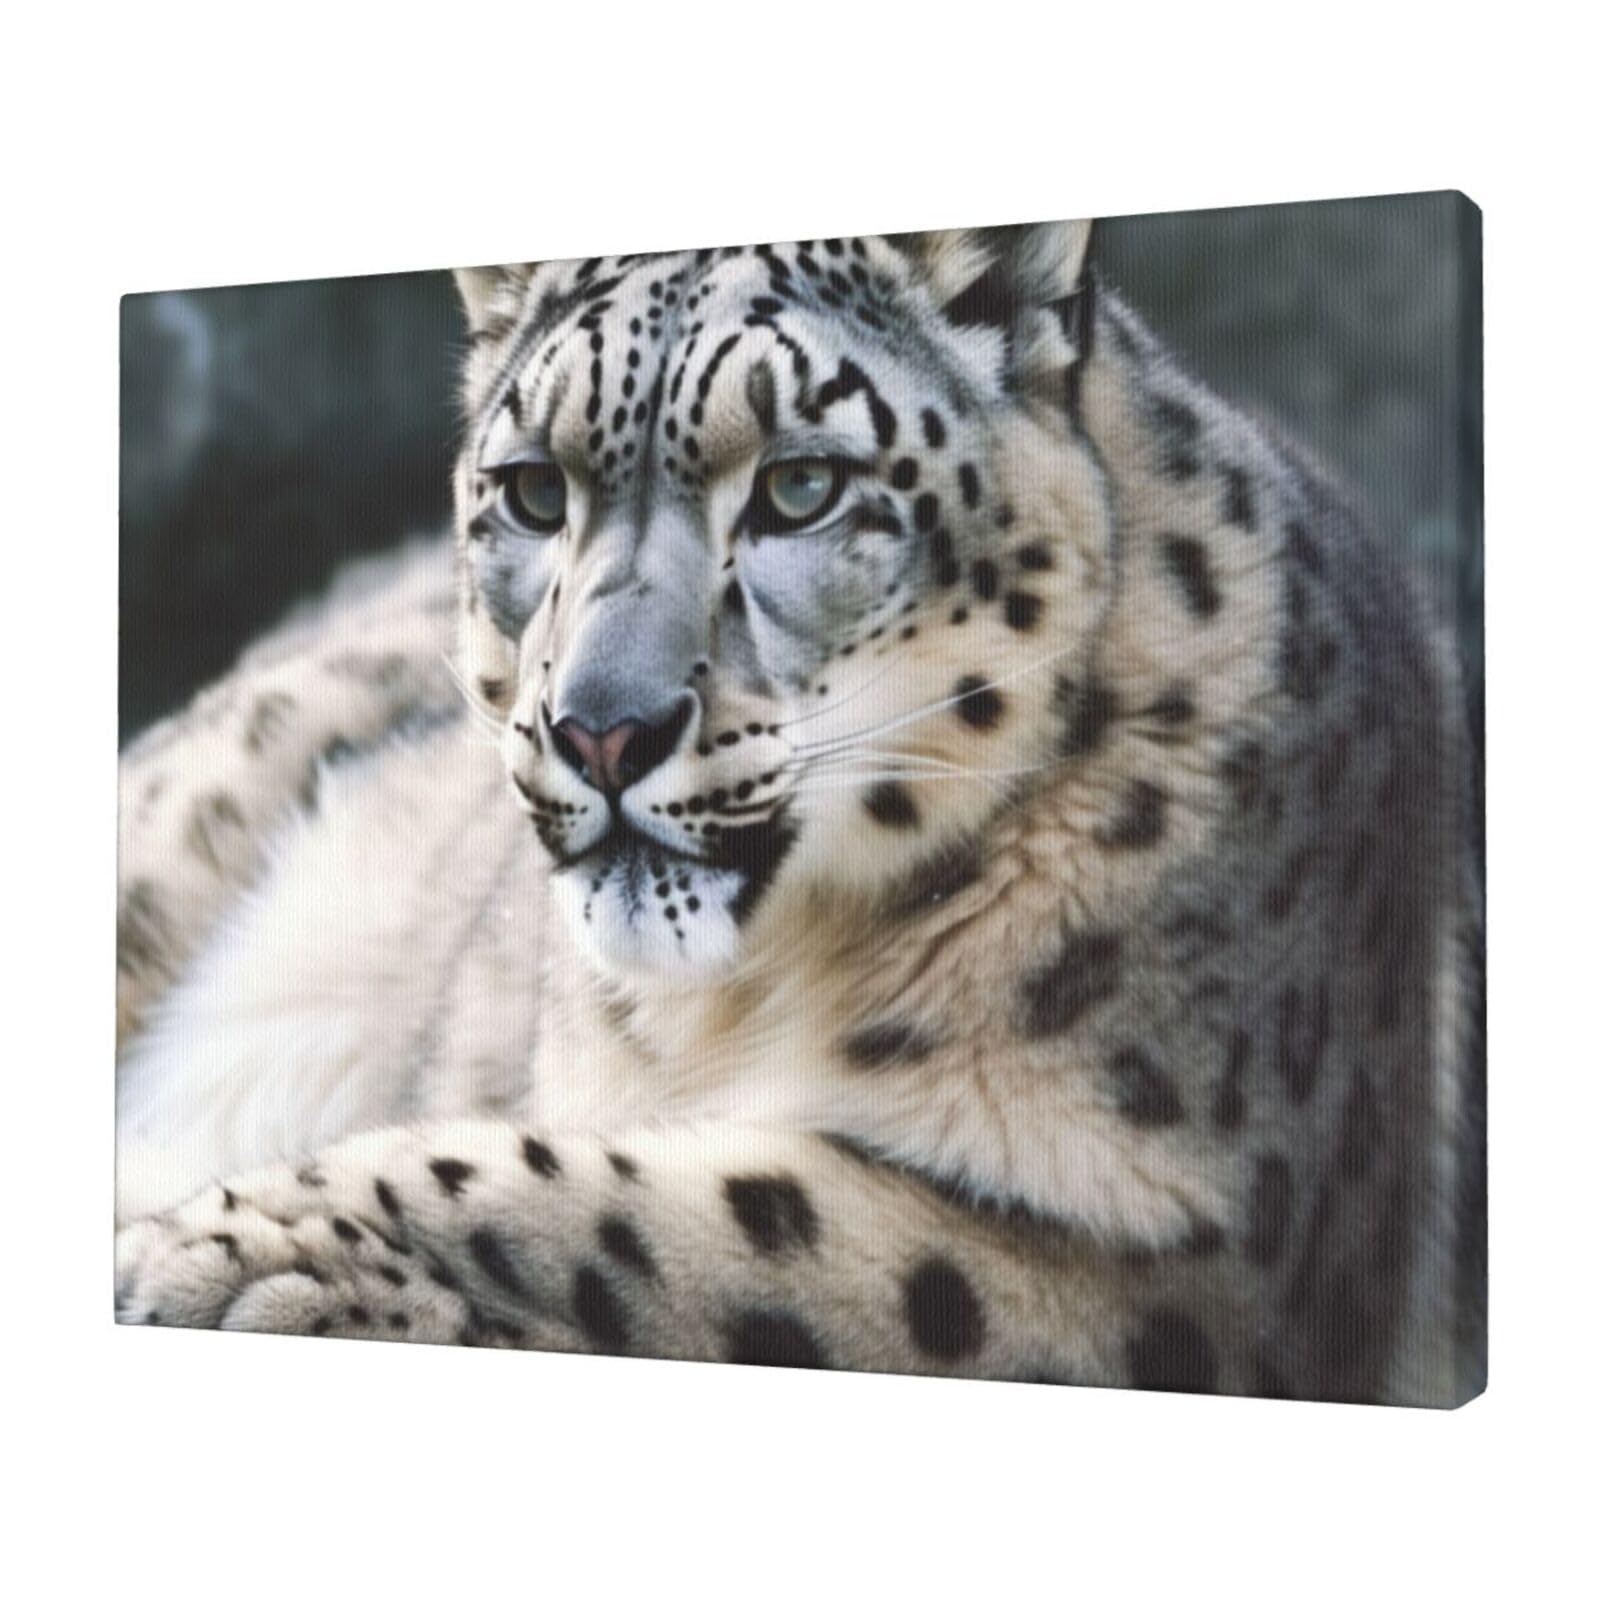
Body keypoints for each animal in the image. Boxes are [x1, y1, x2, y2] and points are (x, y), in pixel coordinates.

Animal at [114, 220, 1485, 1405]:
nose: (599, 728)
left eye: (802, 486)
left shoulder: (1188, 1267)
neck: (746, 996)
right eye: (533, 492)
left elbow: (691, 1216)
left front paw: (208, 1255)